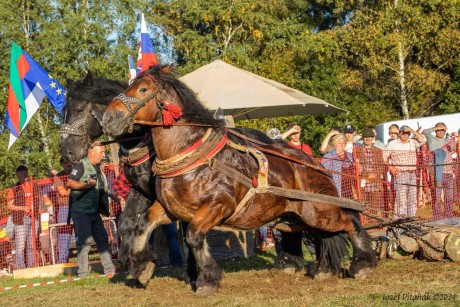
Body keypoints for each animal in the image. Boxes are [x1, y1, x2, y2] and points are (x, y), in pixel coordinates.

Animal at [102, 65, 376, 296]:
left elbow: (193, 236)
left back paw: (362, 264)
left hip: (319, 211)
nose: (108, 118)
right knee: (321, 234)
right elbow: (143, 224)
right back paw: (322, 269)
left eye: (143, 89)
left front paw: (207, 279)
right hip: (294, 218)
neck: (189, 154)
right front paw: (141, 267)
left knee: (349, 221)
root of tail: (313, 164)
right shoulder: (170, 208)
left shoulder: (217, 206)